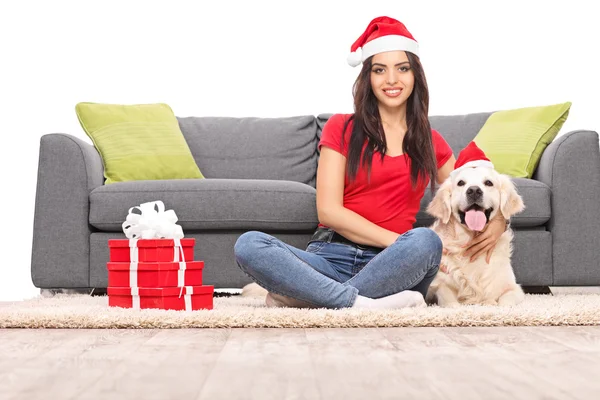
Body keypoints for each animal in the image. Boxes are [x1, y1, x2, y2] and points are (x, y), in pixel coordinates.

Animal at [426, 164, 524, 308]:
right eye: (461, 183)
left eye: (488, 183)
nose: (473, 191)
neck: (470, 239)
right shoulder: (440, 285)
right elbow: (449, 298)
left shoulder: (513, 288)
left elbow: (506, 301)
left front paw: (492, 303)